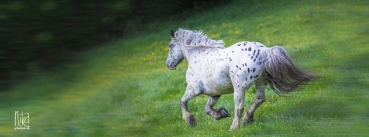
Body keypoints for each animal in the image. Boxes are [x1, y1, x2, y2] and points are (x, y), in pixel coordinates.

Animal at [165, 28, 314, 130]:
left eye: (170, 46)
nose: (169, 64)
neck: (198, 57)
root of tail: (265, 51)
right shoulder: (215, 93)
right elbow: (208, 109)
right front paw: (221, 114)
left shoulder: (194, 90)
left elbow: (183, 101)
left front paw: (191, 121)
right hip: (260, 83)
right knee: (259, 99)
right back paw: (247, 120)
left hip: (239, 88)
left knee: (239, 107)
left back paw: (234, 127)